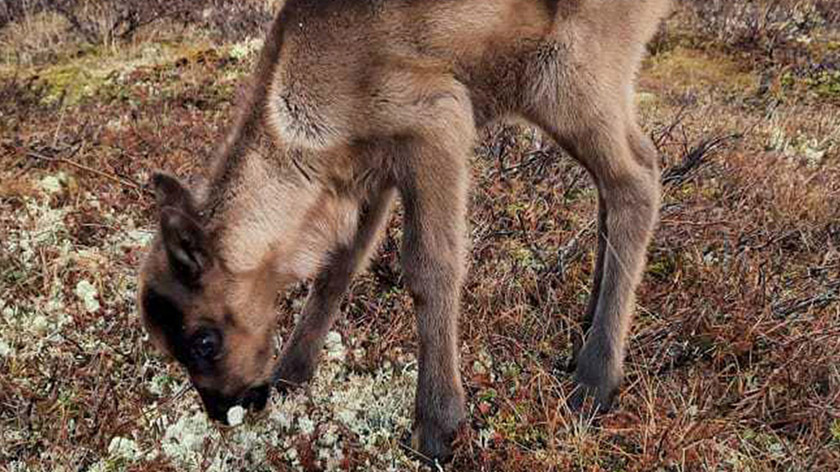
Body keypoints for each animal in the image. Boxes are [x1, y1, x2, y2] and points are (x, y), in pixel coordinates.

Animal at [141, 0, 672, 462]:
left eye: (204, 340)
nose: (226, 409)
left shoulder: (436, 125)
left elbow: (429, 270)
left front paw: (436, 426)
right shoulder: (368, 175)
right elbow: (337, 272)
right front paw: (291, 375)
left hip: (569, 75)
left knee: (637, 180)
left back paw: (595, 380)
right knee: (610, 187)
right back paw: (585, 330)